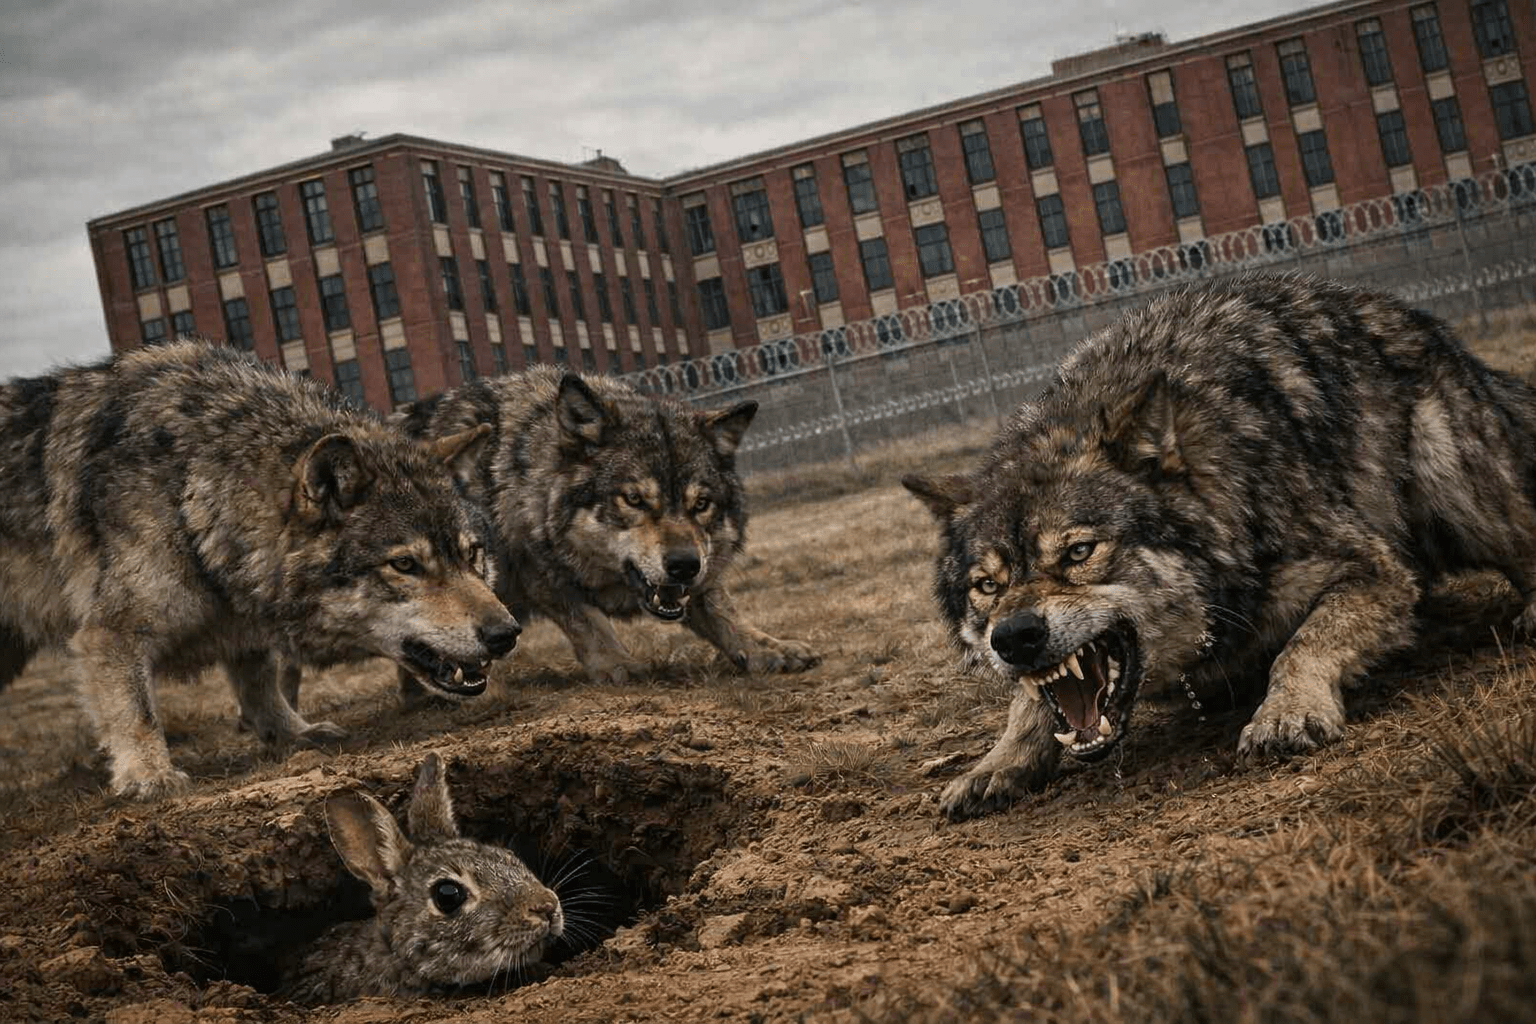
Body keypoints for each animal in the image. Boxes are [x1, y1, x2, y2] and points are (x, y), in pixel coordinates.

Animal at [0, 342, 520, 798]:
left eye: (472, 554)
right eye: (406, 564)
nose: (505, 634)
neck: (191, 487)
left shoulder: (243, 622)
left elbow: (260, 683)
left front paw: (292, 733)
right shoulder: (112, 633)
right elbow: (136, 709)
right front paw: (148, 776)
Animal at [392, 366, 816, 692]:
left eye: (701, 504)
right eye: (634, 499)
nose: (683, 564)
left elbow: (722, 609)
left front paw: (768, 648)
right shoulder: (535, 565)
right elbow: (586, 618)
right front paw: (617, 663)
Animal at [904, 274, 1536, 820]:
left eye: (1079, 553)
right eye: (987, 585)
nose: (1014, 637)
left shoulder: (1376, 572)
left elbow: (1302, 646)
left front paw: (1286, 713)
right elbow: (1030, 703)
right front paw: (996, 765)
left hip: (1454, 484)